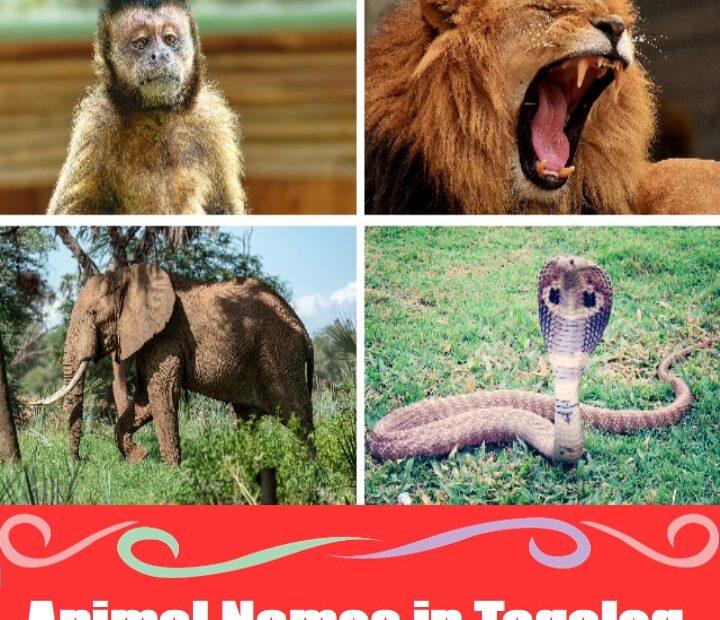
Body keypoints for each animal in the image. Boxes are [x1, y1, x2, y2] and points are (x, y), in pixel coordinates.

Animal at [32, 263, 315, 473]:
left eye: (92, 313)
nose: (81, 461)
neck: (128, 277)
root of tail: (304, 332)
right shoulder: (150, 340)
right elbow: (145, 400)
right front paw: (140, 457)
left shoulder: (166, 336)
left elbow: (163, 393)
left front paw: (172, 473)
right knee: (248, 418)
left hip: (279, 357)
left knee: (296, 416)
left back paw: (309, 470)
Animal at [47, 0, 246, 215]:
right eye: (141, 42)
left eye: (169, 40)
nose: (161, 55)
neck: (158, 118)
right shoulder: (97, 125)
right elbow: (72, 208)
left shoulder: (211, 121)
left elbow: (224, 206)